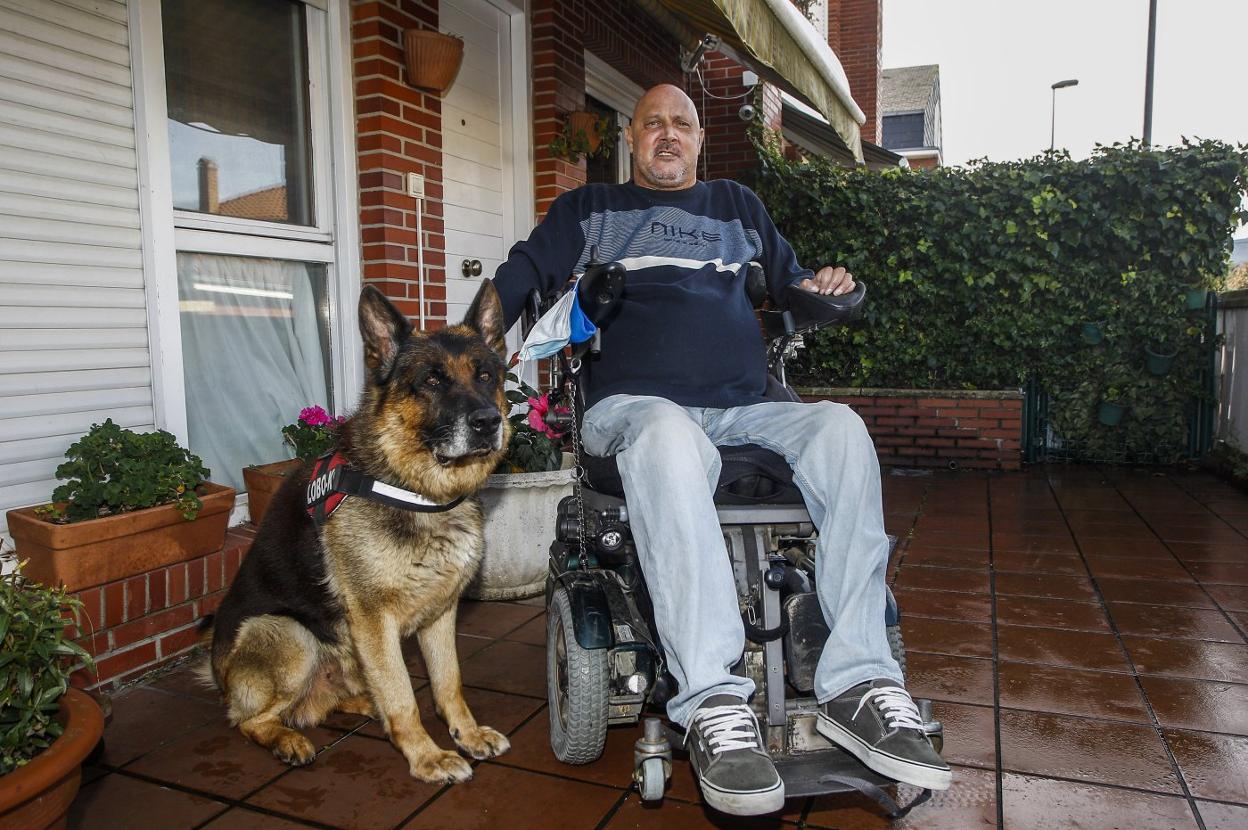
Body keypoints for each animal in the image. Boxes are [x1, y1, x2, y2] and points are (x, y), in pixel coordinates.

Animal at [203, 282, 511, 778]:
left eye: (485, 376)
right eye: (432, 381)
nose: (488, 422)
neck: (416, 490)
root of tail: (218, 671)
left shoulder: (440, 612)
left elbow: (448, 683)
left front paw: (466, 734)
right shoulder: (374, 619)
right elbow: (404, 696)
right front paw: (427, 756)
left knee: (327, 703)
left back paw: (364, 707)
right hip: (292, 635)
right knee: (248, 720)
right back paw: (286, 738)